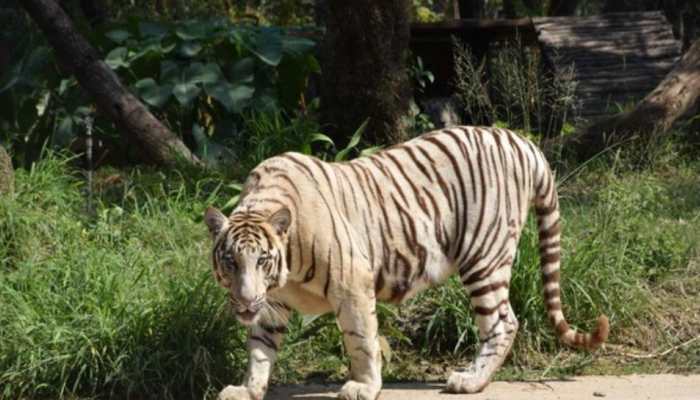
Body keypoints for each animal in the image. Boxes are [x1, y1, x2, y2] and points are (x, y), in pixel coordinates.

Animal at [204, 125, 609, 400]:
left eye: (262, 260)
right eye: (231, 261)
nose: (245, 301)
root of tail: (521, 141)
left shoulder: (352, 283)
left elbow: (361, 340)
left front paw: (364, 386)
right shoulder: (271, 302)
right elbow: (260, 348)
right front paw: (248, 388)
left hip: (484, 256)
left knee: (503, 322)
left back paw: (470, 381)